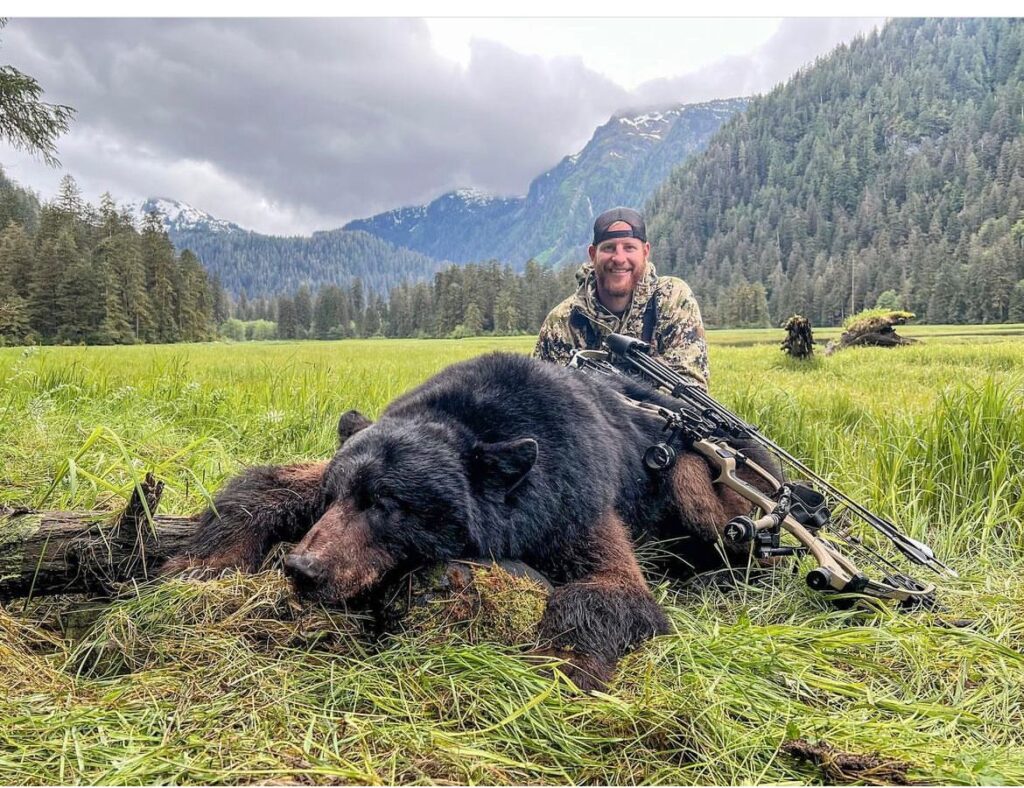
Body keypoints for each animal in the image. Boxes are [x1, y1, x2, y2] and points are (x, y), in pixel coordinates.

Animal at [163, 352, 765, 683]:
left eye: (389, 505)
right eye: (339, 496)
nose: (303, 570)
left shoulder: (575, 494)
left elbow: (614, 591)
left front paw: (563, 666)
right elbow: (268, 485)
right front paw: (198, 565)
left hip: (696, 473)